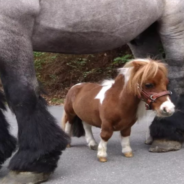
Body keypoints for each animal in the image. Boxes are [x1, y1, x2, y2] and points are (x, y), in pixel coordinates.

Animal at [0, 0, 184, 183]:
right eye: (148, 85)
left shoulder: (12, 23)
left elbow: (21, 94)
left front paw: (31, 163)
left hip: (174, 23)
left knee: (177, 73)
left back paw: (167, 135)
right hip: (145, 32)